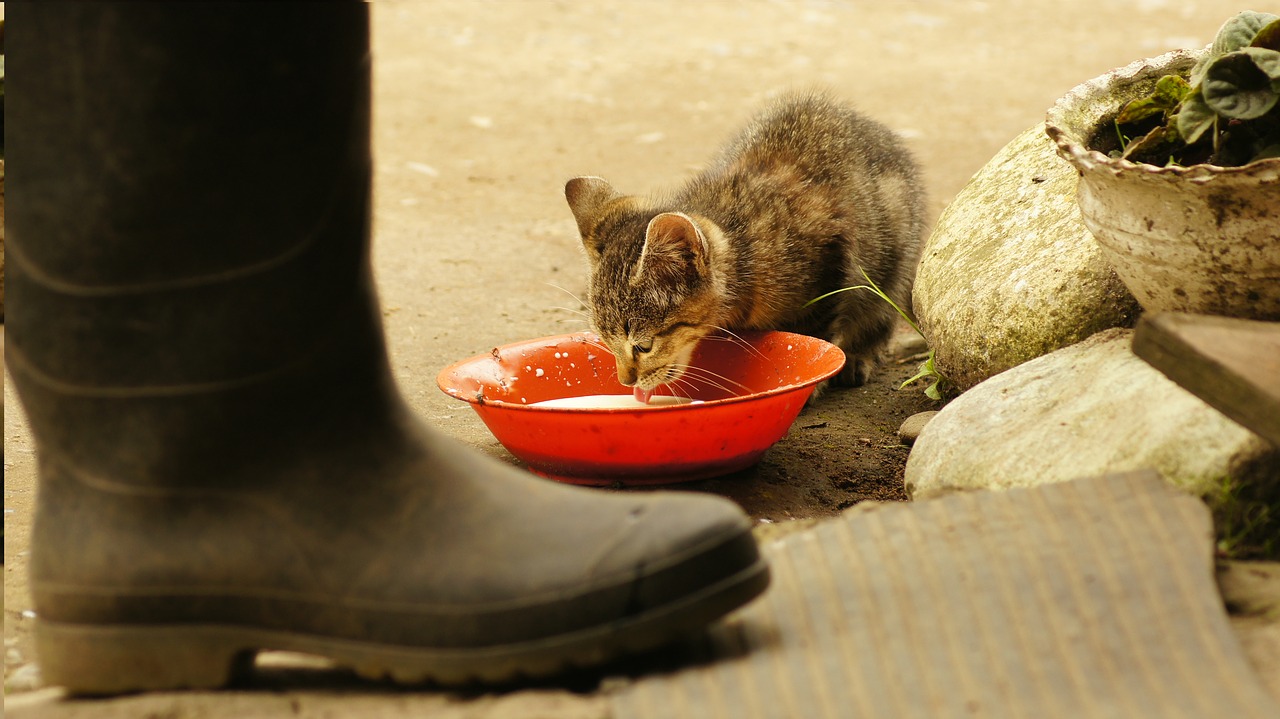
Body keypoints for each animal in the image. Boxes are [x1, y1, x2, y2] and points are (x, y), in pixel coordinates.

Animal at [565, 90, 926, 396]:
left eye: (643, 345)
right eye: (606, 340)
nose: (626, 381)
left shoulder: (828, 266)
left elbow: (814, 334)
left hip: (893, 257)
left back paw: (859, 355)